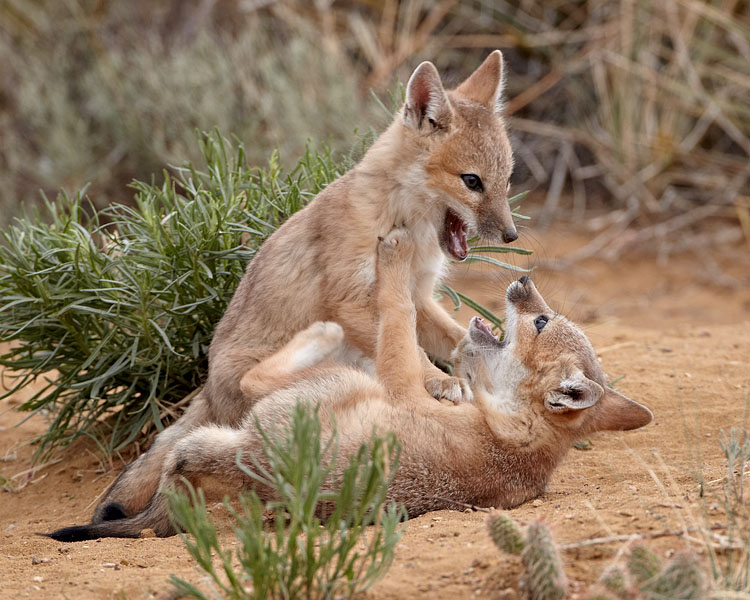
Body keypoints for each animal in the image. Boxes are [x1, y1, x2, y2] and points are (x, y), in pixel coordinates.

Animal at [46, 228, 652, 541]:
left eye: (541, 321)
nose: (524, 278)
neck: (517, 432)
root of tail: (256, 465)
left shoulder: (400, 379)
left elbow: (396, 309)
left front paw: (393, 260)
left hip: (329, 385)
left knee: (253, 380)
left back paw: (322, 331)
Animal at [89, 50, 521, 524]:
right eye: (472, 181)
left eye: (506, 180)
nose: (512, 235)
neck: (404, 222)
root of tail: (207, 392)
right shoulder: (352, 301)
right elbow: (415, 354)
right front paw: (440, 381)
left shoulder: (420, 296)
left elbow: (453, 336)